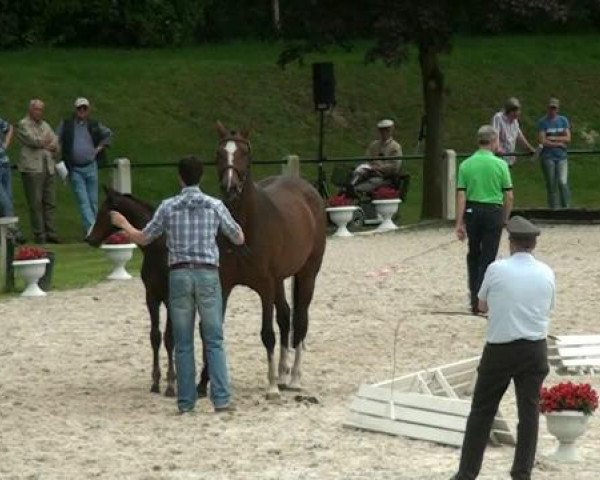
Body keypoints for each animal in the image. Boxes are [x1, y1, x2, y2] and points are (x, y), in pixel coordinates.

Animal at [199, 122, 326, 400]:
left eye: (245, 153)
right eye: (219, 153)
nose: (230, 187)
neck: (244, 226)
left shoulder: (265, 287)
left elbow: (267, 334)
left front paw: (271, 388)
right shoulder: (224, 285)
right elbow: (213, 331)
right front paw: (203, 383)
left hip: (307, 274)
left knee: (300, 321)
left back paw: (294, 379)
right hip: (280, 280)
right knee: (286, 316)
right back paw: (283, 374)